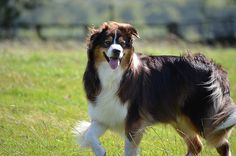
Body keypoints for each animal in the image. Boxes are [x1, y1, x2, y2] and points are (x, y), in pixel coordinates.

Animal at [74, 21, 236, 156]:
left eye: (122, 44)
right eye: (107, 42)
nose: (116, 51)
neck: (112, 74)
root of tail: (214, 67)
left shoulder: (133, 121)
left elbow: (129, 150)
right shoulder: (105, 113)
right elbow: (89, 134)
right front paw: (100, 150)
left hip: (201, 117)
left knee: (222, 144)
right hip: (180, 119)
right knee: (196, 145)